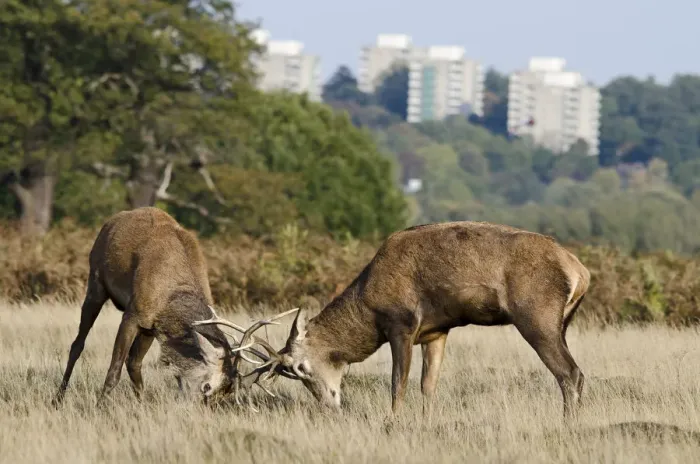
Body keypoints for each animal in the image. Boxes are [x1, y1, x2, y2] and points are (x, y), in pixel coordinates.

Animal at [53, 207, 294, 406]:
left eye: (223, 396)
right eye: (206, 386)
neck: (172, 297)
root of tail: (112, 220)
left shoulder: (151, 325)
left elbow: (132, 363)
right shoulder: (133, 314)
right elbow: (114, 369)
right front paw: (99, 407)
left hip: (147, 330)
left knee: (134, 362)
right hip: (96, 283)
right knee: (77, 344)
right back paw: (58, 398)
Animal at [196, 221, 591, 419]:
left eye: (301, 368)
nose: (329, 404)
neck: (368, 304)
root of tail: (581, 272)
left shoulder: (401, 324)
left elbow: (397, 384)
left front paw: (393, 422)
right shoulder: (437, 331)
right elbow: (428, 385)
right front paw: (426, 424)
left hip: (536, 317)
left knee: (570, 373)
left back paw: (568, 425)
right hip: (562, 323)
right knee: (574, 373)